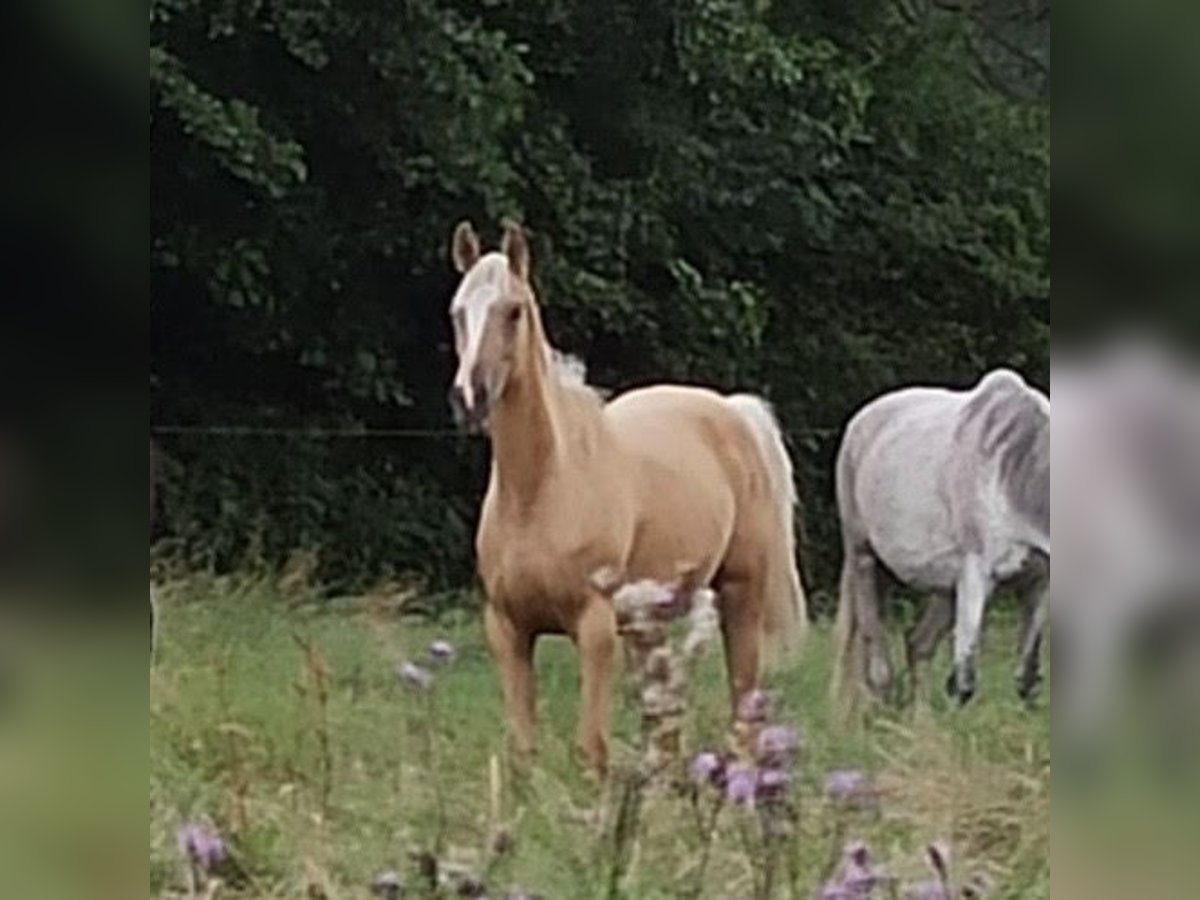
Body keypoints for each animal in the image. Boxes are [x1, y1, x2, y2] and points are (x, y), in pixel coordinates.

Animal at [444, 220, 806, 777]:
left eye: (514, 310)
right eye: (458, 311)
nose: (468, 398)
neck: (541, 490)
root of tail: (732, 410)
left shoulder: (594, 629)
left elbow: (591, 749)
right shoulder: (507, 629)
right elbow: (523, 750)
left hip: (739, 594)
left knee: (743, 711)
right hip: (647, 623)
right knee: (665, 728)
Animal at [835, 369, 1051, 710]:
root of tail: (861, 419)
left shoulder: (1038, 582)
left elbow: (1026, 681)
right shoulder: (977, 573)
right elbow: (963, 685)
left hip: (945, 588)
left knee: (917, 645)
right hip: (862, 557)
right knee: (878, 661)